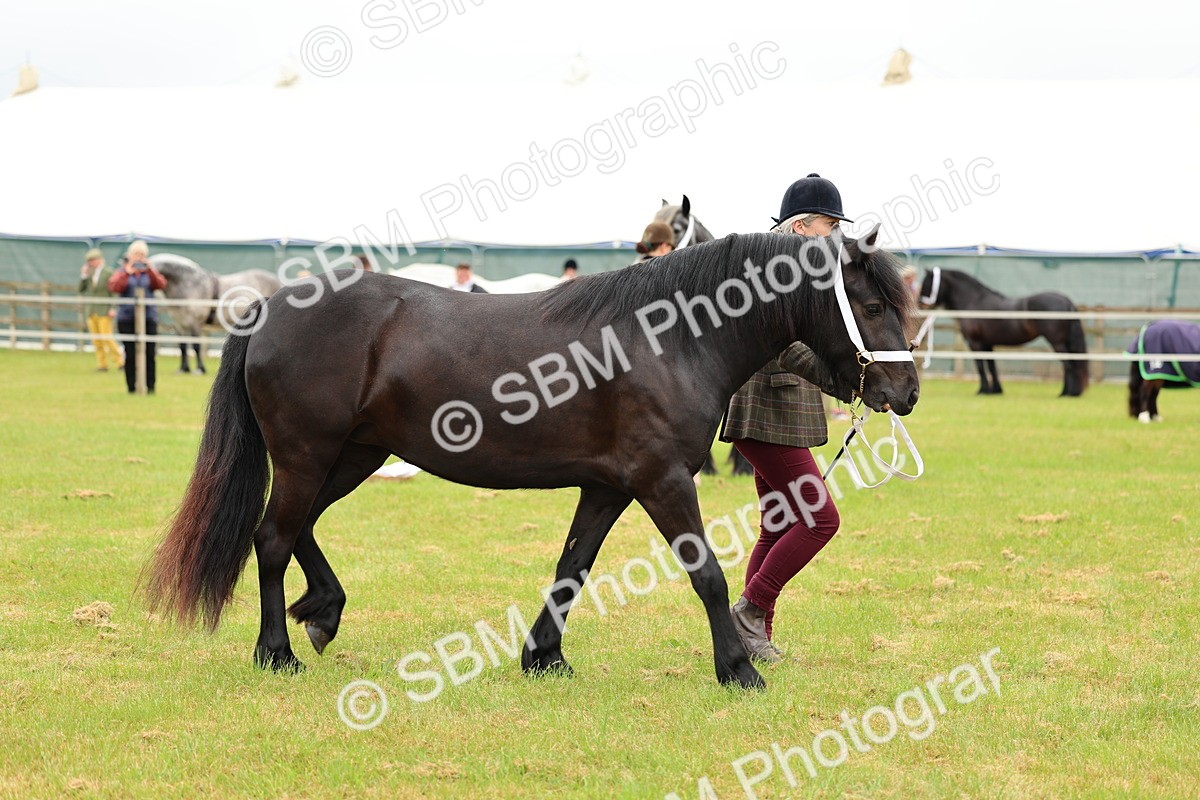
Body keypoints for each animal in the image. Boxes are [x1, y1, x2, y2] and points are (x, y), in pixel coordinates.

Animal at [150, 254, 282, 374]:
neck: (190, 284)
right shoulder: (180, 324)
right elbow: (182, 346)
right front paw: (184, 369)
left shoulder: (194, 323)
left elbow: (196, 346)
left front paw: (200, 369)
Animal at [918, 267, 1089, 396]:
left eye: (926, 283)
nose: (920, 305)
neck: (973, 300)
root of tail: (1066, 300)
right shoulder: (987, 344)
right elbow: (992, 366)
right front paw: (996, 390)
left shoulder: (975, 343)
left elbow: (980, 366)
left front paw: (983, 390)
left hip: (1057, 342)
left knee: (1069, 364)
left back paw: (1068, 393)